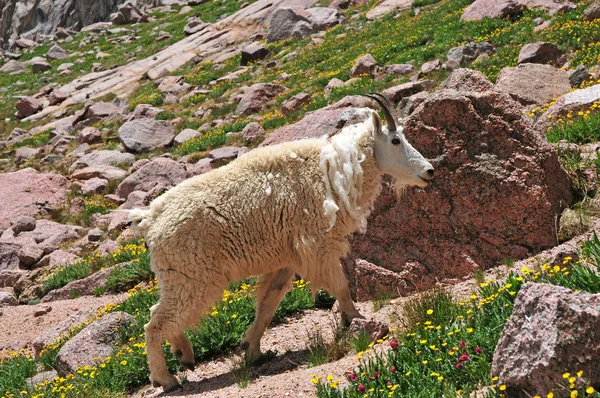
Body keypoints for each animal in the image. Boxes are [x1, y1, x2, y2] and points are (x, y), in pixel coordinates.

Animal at [129, 94, 434, 392]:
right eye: (395, 140)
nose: (429, 171)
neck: (335, 169)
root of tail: (149, 220)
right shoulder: (318, 245)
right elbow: (341, 286)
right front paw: (355, 318)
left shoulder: (287, 258)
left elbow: (268, 304)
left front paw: (252, 351)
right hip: (191, 275)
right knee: (155, 322)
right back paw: (166, 378)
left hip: (180, 277)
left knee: (161, 314)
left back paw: (184, 354)